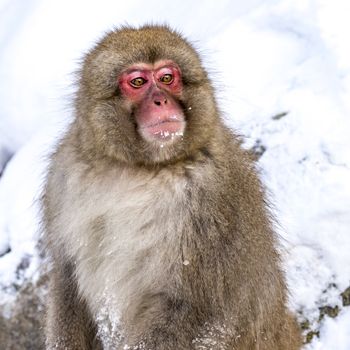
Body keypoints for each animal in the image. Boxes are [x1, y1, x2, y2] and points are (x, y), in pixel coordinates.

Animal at [43, 26, 300, 348]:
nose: (161, 101)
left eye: (167, 78)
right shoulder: (62, 179)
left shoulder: (213, 199)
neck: (139, 168)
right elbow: (66, 281)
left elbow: (191, 306)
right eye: (138, 82)